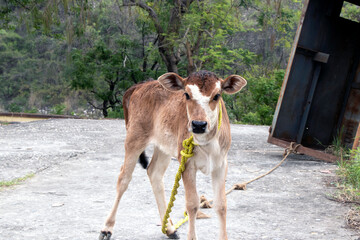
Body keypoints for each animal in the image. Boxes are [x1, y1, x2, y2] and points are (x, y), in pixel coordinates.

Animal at [100, 70, 248, 239]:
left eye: (217, 95)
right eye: (187, 94)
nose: (198, 125)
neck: (206, 143)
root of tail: (141, 85)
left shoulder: (221, 163)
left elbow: (221, 205)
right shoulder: (187, 162)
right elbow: (192, 204)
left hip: (163, 147)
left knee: (154, 173)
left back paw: (169, 228)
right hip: (134, 137)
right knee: (123, 178)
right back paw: (107, 228)